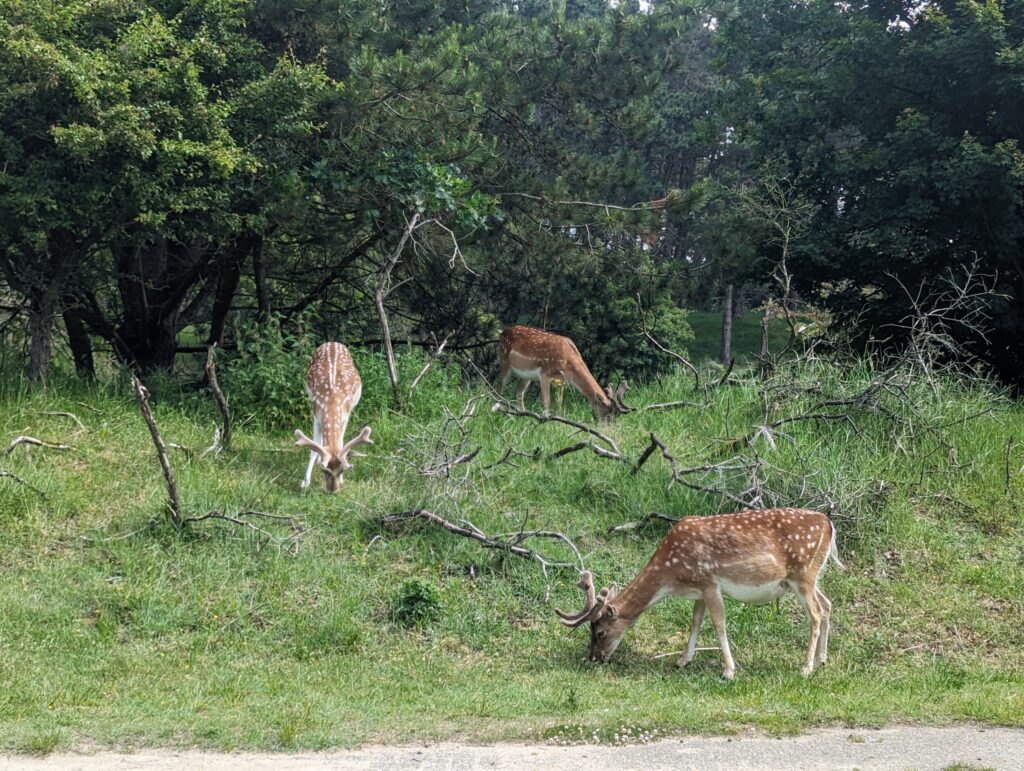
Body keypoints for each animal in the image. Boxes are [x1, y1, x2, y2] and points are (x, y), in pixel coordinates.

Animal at [294, 341, 374, 493]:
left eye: (343, 469)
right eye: (324, 471)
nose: (333, 490)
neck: (332, 400)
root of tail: (332, 342)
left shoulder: (345, 415)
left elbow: (341, 443)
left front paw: (342, 481)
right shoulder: (316, 413)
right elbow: (313, 450)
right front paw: (305, 483)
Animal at [497, 325, 630, 421]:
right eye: (609, 413)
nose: (610, 428)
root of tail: (502, 333)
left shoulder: (561, 381)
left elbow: (560, 403)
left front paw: (559, 421)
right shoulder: (544, 374)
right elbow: (547, 403)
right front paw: (545, 423)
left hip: (525, 375)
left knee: (519, 392)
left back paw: (522, 417)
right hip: (504, 361)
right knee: (499, 390)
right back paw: (500, 413)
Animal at [561, 507, 839, 675]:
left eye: (599, 631)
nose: (594, 657)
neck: (671, 575)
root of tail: (828, 524)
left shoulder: (709, 582)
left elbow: (718, 624)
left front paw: (729, 671)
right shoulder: (699, 591)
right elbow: (695, 621)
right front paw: (683, 660)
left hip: (803, 575)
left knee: (815, 614)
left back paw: (806, 668)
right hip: (810, 576)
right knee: (827, 605)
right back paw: (823, 659)